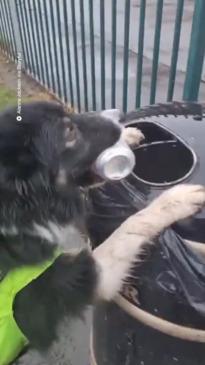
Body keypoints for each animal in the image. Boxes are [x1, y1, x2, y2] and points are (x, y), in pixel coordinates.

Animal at [0, 101, 204, 362]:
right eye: (69, 132)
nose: (119, 115)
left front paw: (128, 135)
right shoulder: (84, 276)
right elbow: (130, 225)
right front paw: (175, 200)